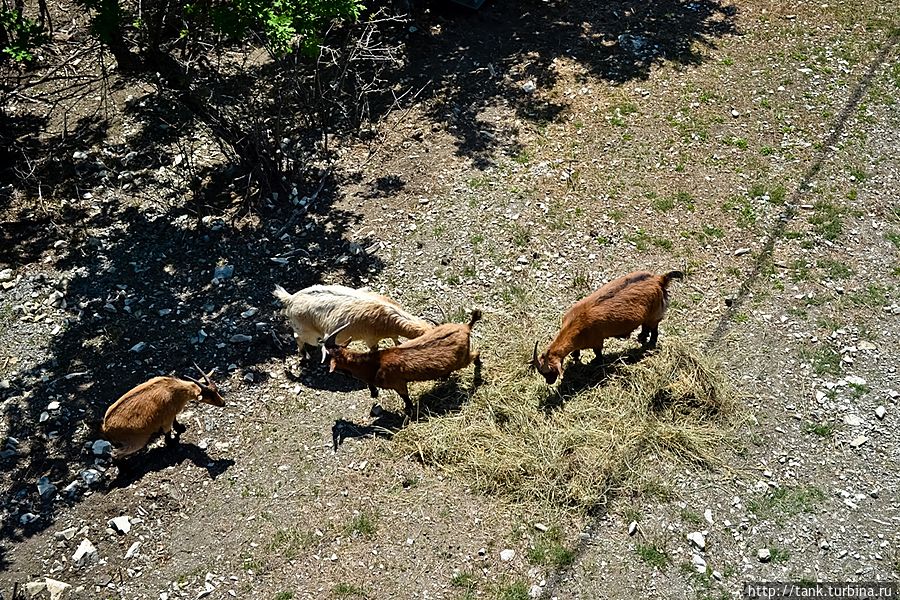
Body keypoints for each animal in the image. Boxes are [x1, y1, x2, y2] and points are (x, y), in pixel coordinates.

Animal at [270, 284, 432, 354]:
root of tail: (291, 299)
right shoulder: (371, 338)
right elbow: (374, 349)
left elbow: (396, 339)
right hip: (307, 332)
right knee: (298, 337)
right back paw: (304, 353)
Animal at [320, 310, 482, 412]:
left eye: (328, 358)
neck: (374, 364)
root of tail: (466, 327)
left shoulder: (398, 383)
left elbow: (406, 398)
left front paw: (409, 411)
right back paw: (444, 376)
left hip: (463, 359)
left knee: (476, 353)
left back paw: (478, 374)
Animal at [536, 268, 684, 382]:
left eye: (549, 372)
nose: (549, 382)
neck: (576, 322)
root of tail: (659, 279)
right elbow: (576, 351)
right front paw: (575, 355)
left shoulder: (596, 340)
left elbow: (598, 353)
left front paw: (596, 363)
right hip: (647, 314)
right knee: (645, 325)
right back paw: (641, 337)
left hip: (654, 314)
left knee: (654, 329)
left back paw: (650, 343)